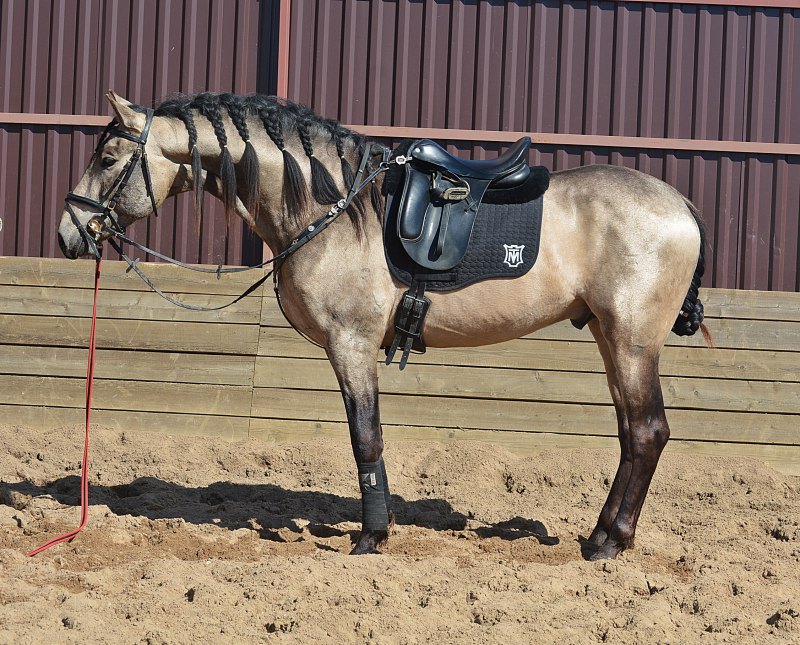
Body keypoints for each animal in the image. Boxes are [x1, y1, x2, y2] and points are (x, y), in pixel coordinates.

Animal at [56, 90, 708, 560]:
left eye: (108, 159)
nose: (70, 234)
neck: (334, 207)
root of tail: (680, 204)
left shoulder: (351, 344)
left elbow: (365, 438)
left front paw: (371, 536)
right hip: (608, 335)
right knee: (631, 435)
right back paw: (602, 534)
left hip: (630, 340)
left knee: (647, 432)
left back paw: (608, 543)